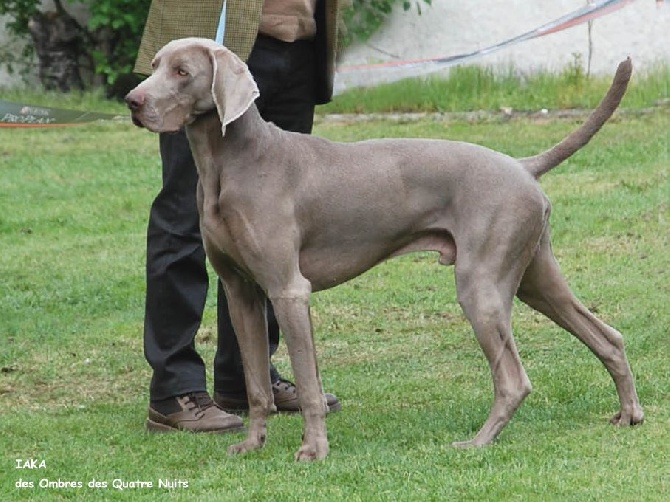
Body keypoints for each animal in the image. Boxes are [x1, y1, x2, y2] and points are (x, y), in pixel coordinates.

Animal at [126, 38, 644, 462]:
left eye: (182, 72)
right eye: (153, 65)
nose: (132, 101)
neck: (229, 163)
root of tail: (522, 165)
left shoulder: (289, 290)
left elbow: (309, 385)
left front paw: (314, 450)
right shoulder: (241, 292)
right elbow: (256, 385)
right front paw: (253, 444)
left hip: (482, 284)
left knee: (514, 378)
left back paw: (477, 442)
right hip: (533, 276)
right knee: (608, 336)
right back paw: (629, 414)